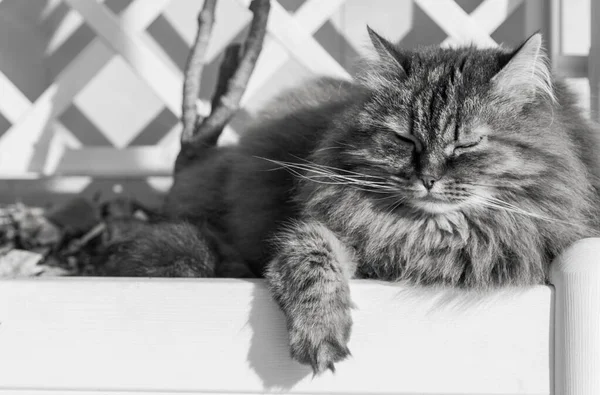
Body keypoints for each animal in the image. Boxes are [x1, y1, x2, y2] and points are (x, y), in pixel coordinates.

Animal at [105, 28, 600, 378]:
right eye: (404, 139)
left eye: (466, 144)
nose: (428, 179)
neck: (425, 231)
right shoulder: (318, 228)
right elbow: (312, 258)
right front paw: (320, 332)